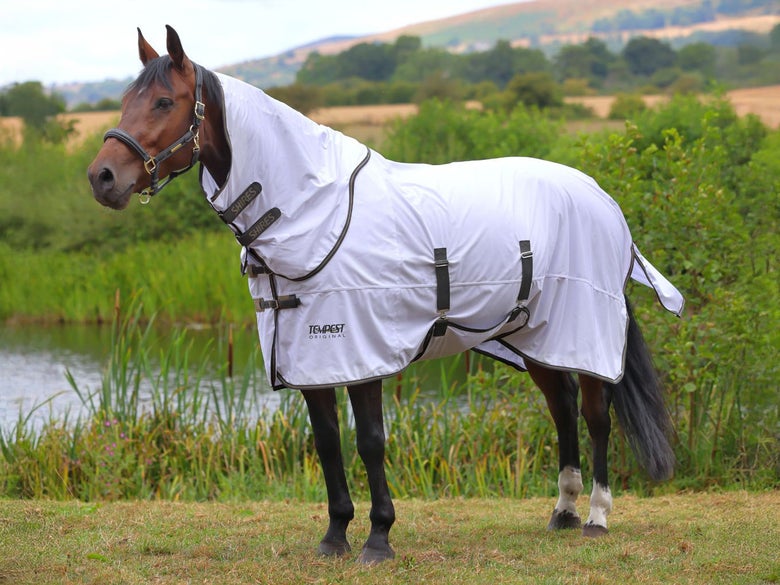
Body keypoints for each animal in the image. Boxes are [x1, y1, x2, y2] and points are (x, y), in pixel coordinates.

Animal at [87, 26, 684, 564]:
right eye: (125, 100)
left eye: (164, 100)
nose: (102, 177)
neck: (311, 210)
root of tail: (602, 200)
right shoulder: (312, 359)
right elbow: (328, 443)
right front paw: (334, 537)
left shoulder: (363, 352)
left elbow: (371, 441)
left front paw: (378, 538)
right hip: (536, 334)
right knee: (561, 409)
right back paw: (562, 512)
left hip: (586, 330)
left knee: (596, 415)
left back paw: (597, 516)